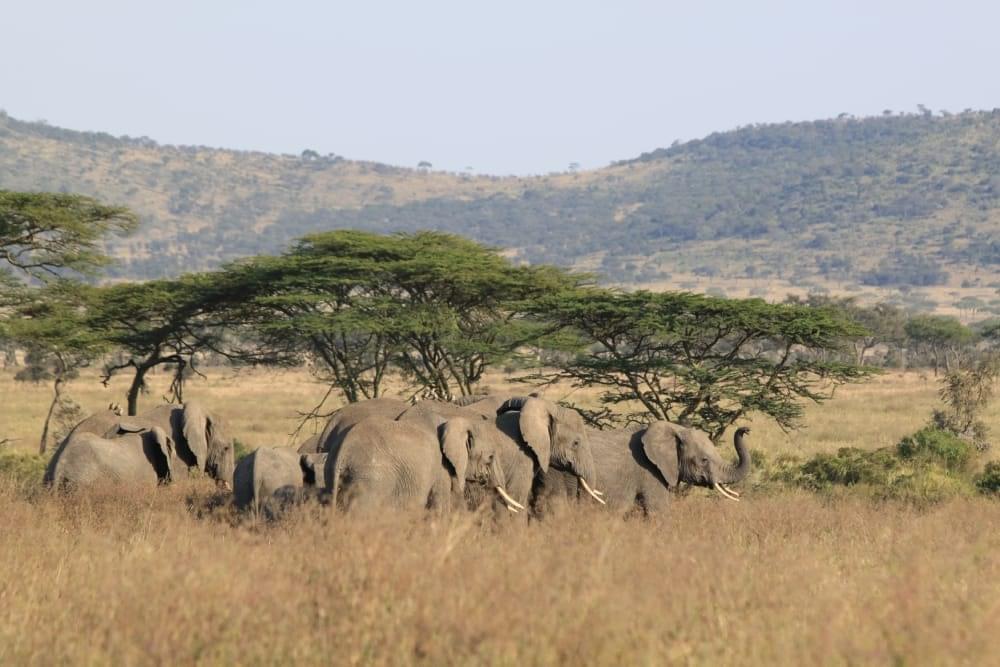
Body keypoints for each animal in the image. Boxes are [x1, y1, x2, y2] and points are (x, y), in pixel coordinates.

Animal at [540, 422, 752, 516]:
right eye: (704, 460)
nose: (745, 429)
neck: (675, 429)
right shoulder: (650, 472)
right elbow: (658, 512)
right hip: (558, 472)